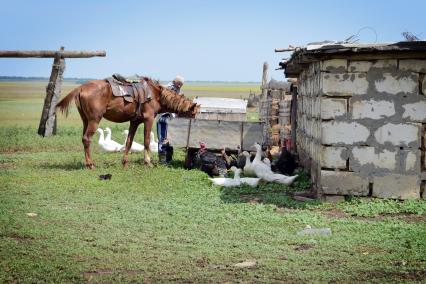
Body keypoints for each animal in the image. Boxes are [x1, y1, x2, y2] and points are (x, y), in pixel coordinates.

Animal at [56, 77, 200, 169]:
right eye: (194, 113)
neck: (156, 95)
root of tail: (81, 88)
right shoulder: (148, 119)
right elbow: (146, 141)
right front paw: (148, 162)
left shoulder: (134, 121)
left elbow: (129, 142)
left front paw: (124, 163)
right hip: (94, 120)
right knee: (87, 139)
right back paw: (90, 164)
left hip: (85, 120)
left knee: (84, 139)